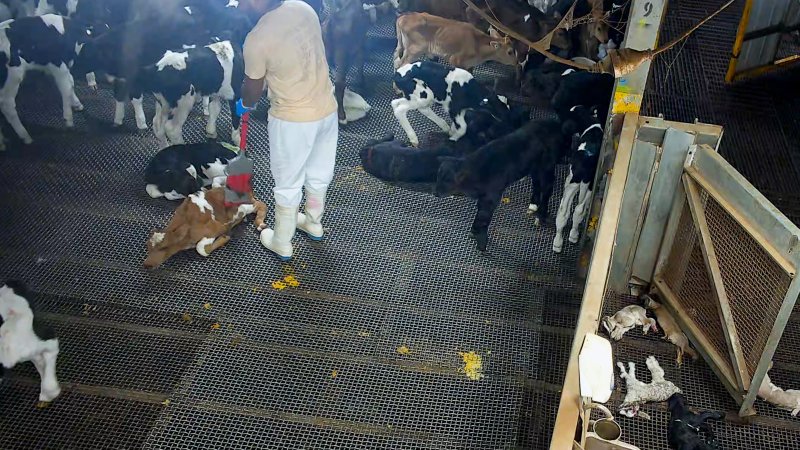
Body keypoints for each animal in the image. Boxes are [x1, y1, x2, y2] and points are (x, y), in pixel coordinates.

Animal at [0, 14, 88, 146]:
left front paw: (77, 104)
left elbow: (71, 82)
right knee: (7, 105)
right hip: (13, 76)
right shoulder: (58, 65)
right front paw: (69, 120)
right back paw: (26, 137)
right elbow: (66, 87)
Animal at [552, 105, 604, 253]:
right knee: (579, 210)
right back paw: (572, 236)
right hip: (588, 185)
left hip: (574, 183)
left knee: (565, 210)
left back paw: (558, 243)